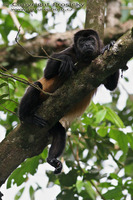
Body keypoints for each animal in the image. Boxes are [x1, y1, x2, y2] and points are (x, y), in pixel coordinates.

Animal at [18, 28, 119, 174]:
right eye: (82, 41)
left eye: (90, 39)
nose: (87, 45)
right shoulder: (71, 50)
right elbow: (48, 72)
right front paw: (65, 60)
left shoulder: (100, 59)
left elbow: (110, 85)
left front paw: (109, 45)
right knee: (37, 85)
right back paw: (25, 116)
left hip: (51, 123)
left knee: (60, 132)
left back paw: (52, 159)